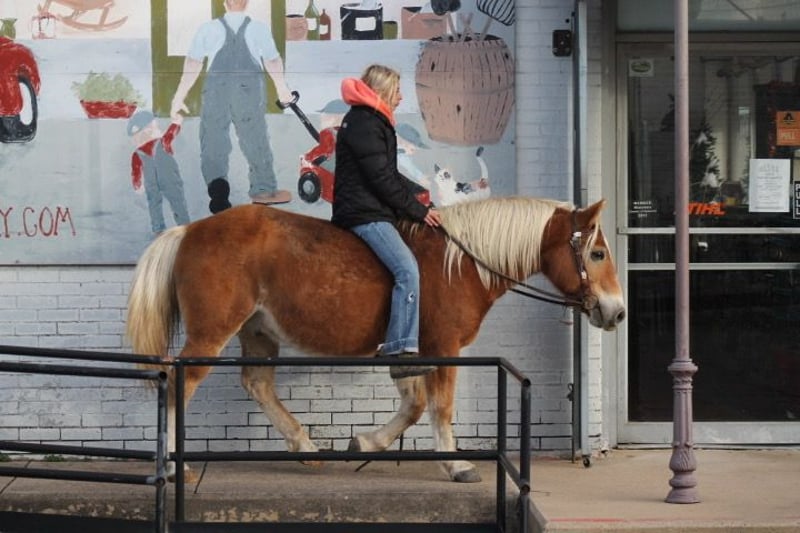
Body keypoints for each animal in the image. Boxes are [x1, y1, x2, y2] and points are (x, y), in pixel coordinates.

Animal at [125, 196, 625, 483]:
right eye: (598, 253)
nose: (617, 311)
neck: (460, 262)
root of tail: (188, 230)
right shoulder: (444, 347)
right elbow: (440, 407)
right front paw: (457, 465)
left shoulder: (408, 352)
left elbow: (415, 405)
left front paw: (365, 444)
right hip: (211, 333)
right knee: (180, 385)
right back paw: (173, 464)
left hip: (258, 331)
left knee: (257, 384)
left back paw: (306, 449)